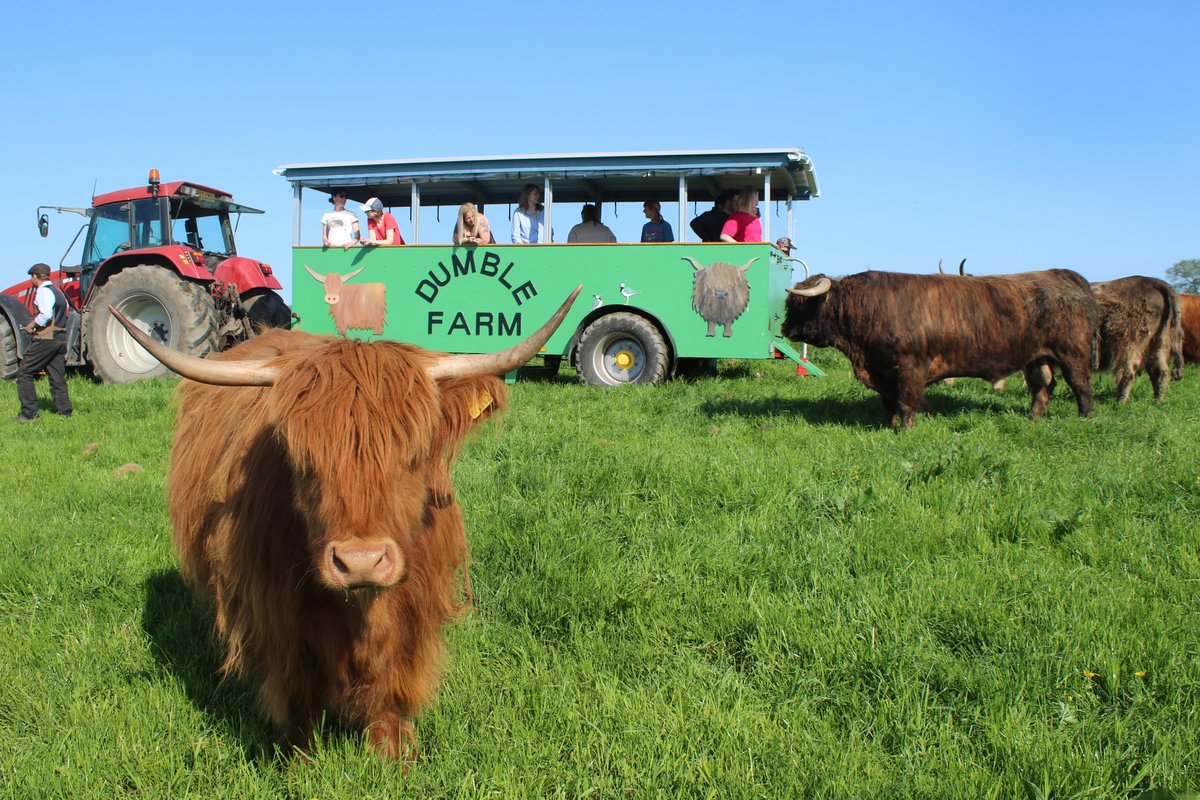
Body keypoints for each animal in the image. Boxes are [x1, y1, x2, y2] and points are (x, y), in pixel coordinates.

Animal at [110, 289, 578, 762]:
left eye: (413, 456)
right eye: (303, 462)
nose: (361, 562)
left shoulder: (413, 606)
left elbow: (393, 680)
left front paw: (392, 751)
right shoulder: (279, 613)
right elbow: (297, 691)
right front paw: (298, 757)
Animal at [782, 268, 1099, 429]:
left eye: (800, 304)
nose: (784, 328)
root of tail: (1067, 275)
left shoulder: (909, 367)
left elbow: (906, 402)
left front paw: (905, 430)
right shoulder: (883, 370)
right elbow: (889, 403)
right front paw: (889, 425)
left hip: (1073, 353)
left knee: (1081, 385)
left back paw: (1085, 418)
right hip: (1037, 356)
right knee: (1042, 386)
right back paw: (1034, 417)